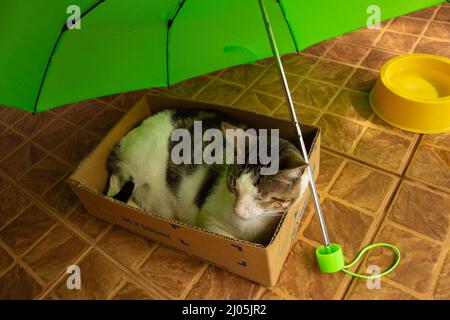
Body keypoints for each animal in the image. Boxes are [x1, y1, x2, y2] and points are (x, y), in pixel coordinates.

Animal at [106, 109, 310, 244]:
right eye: (233, 187)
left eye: (260, 198)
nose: (238, 211)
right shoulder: (208, 220)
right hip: (135, 167)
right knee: (115, 188)